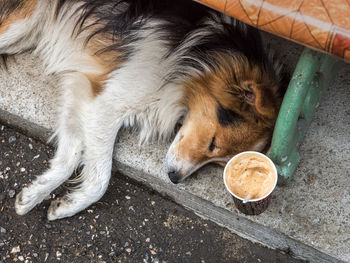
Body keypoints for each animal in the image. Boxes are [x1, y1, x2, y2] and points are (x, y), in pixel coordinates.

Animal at [0, 0, 286, 221]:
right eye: (213, 142)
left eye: (217, 163)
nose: (174, 178)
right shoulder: (109, 103)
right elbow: (100, 179)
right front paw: (71, 201)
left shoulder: (85, 92)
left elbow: (68, 156)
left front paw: (40, 196)